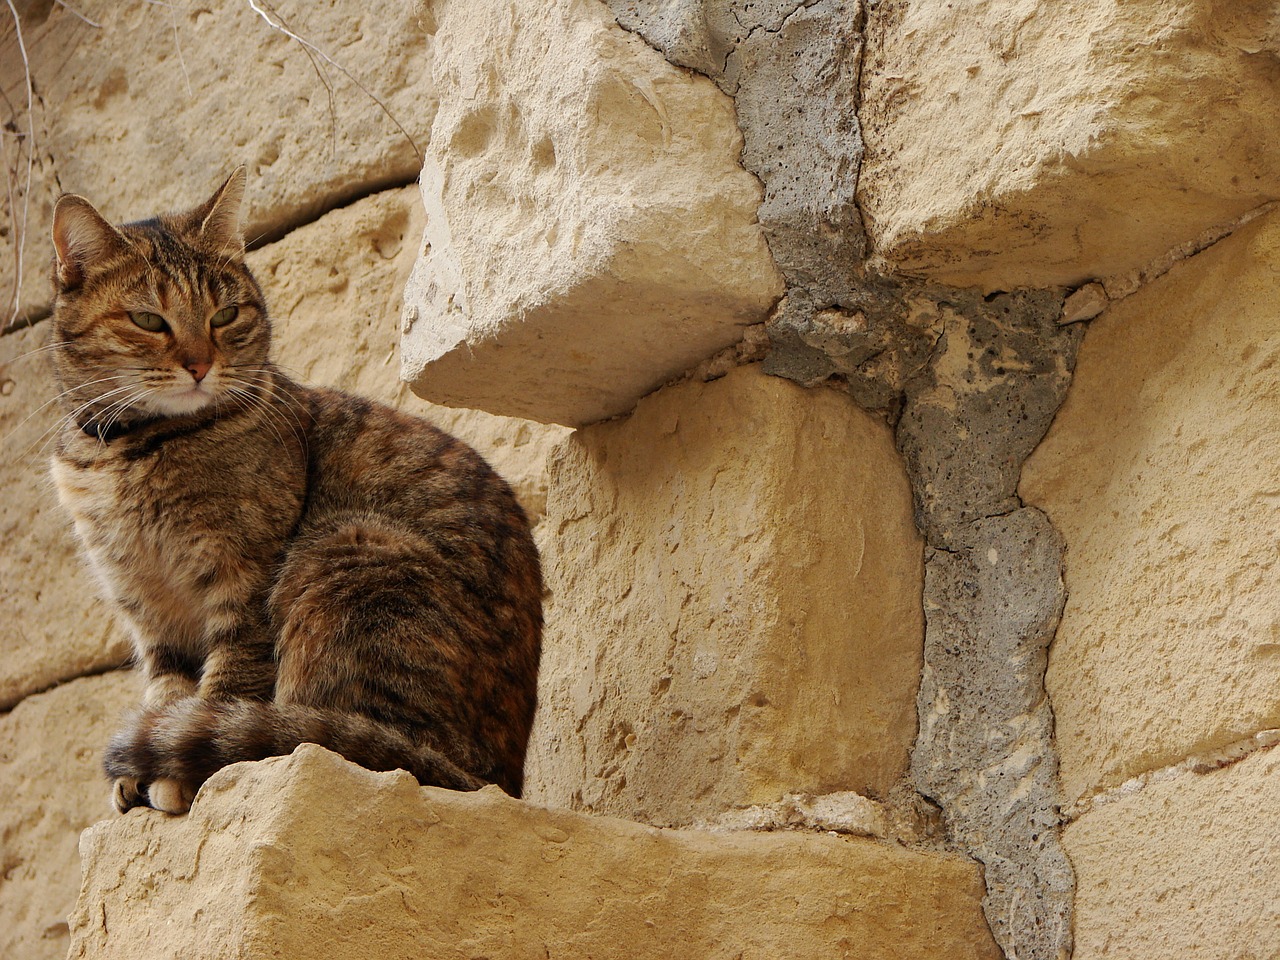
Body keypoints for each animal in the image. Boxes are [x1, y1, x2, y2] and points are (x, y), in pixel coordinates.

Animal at [47, 168, 540, 814]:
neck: (130, 450)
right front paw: (145, 763)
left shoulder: (245, 575)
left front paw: (179, 770)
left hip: (349, 549)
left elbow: (226, 680)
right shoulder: (146, 605)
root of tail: (497, 782)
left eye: (226, 314)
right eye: (148, 320)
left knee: (348, 744)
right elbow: (168, 691)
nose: (200, 365)